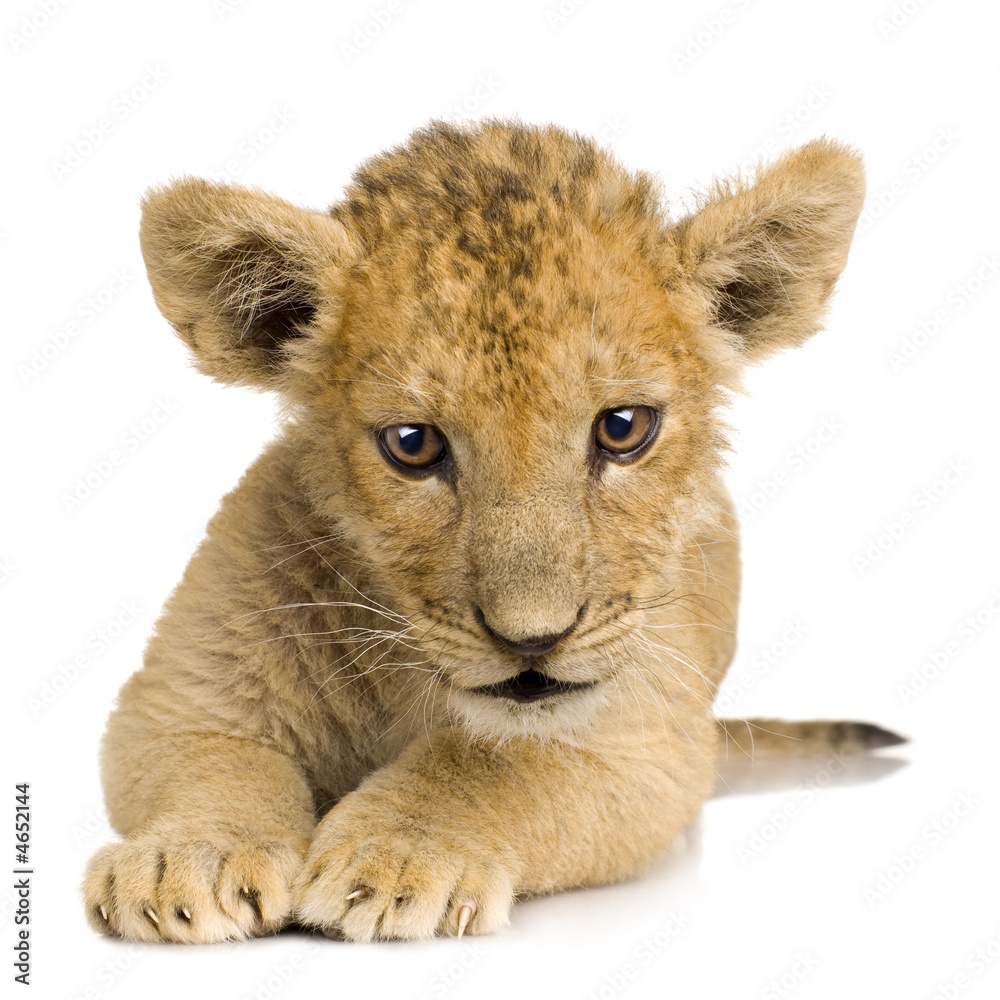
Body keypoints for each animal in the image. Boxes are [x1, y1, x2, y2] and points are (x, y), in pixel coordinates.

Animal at [84, 119, 901, 944]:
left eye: (624, 428)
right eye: (412, 444)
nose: (533, 641)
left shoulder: (653, 734)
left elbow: (498, 767)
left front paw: (397, 857)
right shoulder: (181, 697)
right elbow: (214, 762)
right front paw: (187, 858)